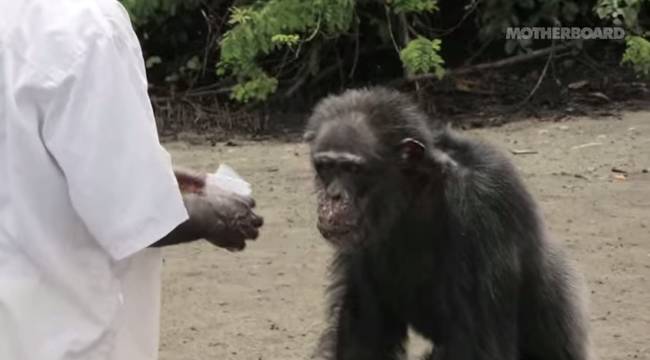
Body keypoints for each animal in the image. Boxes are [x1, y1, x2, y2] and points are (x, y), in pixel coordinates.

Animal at [302, 87, 588, 360]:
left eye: (353, 169)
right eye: (325, 167)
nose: (333, 196)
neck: (415, 194)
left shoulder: (481, 202)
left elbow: (475, 346)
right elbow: (363, 336)